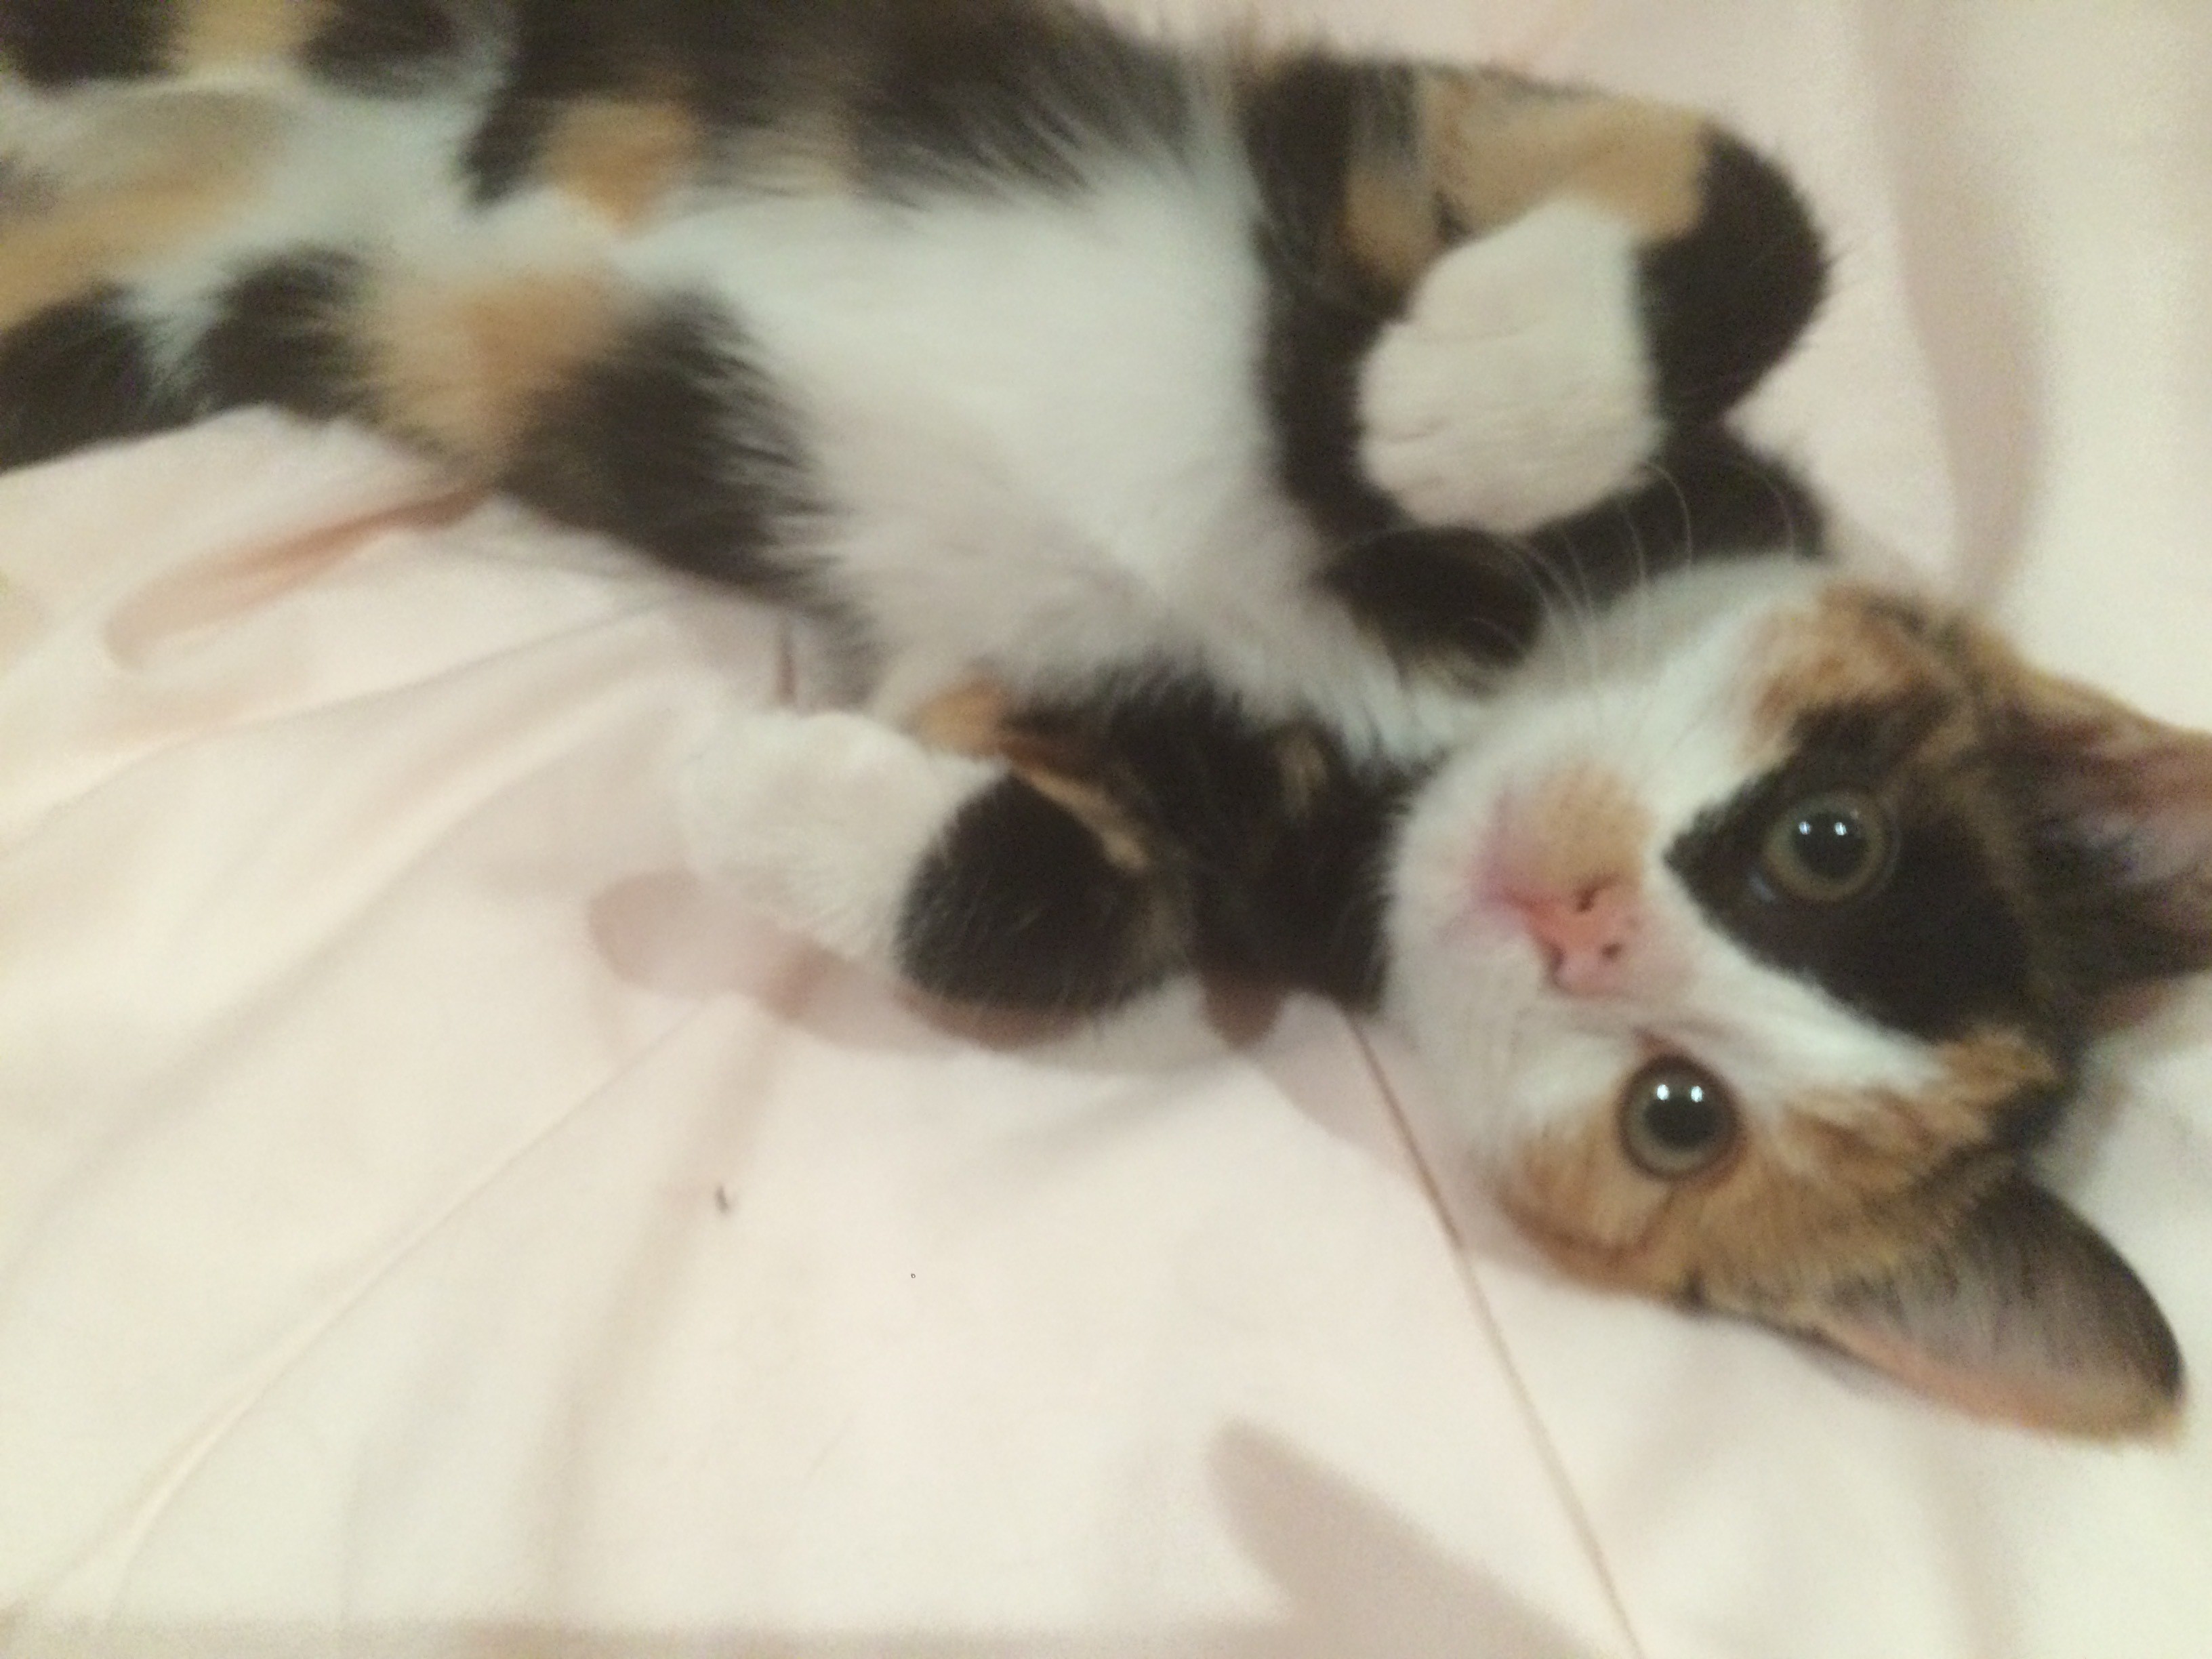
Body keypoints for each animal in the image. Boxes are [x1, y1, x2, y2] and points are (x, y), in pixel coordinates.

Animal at [2, 0, 2204, 1436]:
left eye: (1677, 1116)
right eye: (1824, 841)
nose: (1580, 916)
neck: (1422, 717)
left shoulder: (1153, 797)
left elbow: (1050, 906)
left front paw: (750, 780)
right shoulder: (1369, 154)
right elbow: (1736, 205)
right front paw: (1475, 401)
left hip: (146, 317)